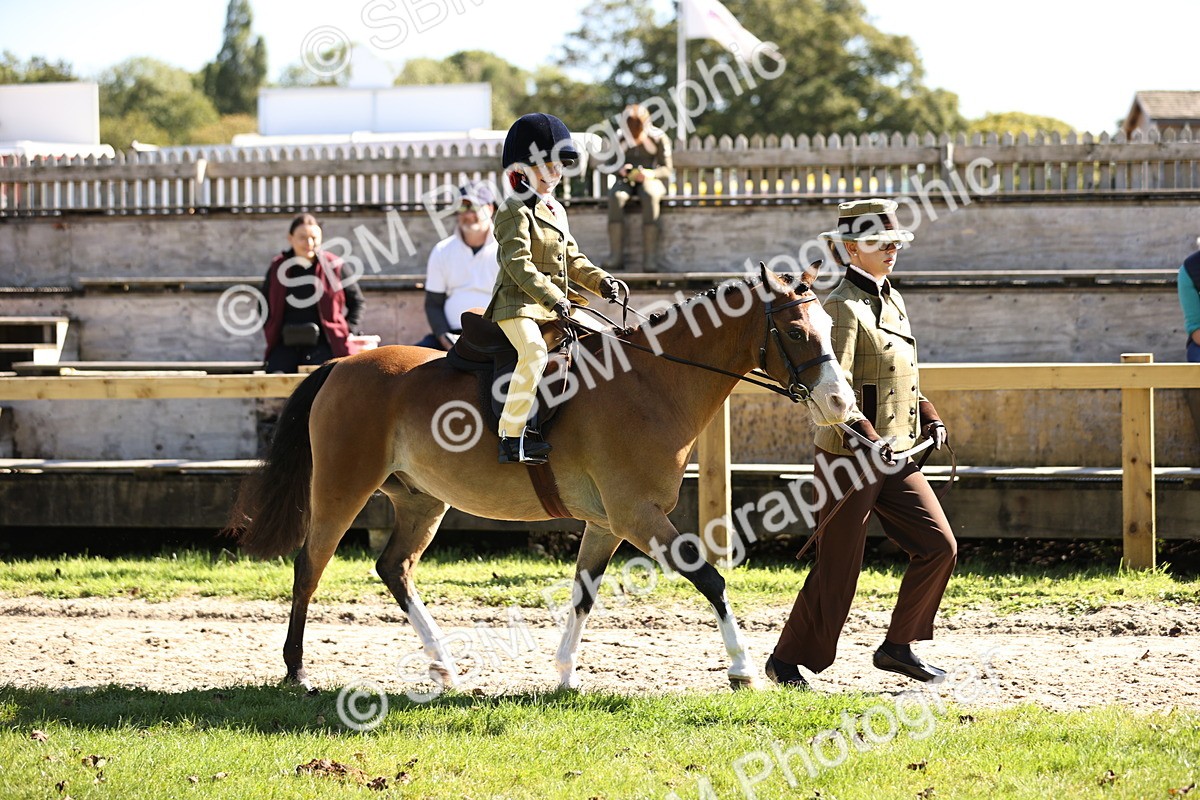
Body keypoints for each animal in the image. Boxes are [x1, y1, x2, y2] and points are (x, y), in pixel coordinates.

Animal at [231, 263, 856, 692]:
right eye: (796, 333)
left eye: (828, 326)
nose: (841, 403)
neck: (650, 382)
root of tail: (340, 364)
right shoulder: (637, 514)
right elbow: (709, 578)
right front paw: (742, 668)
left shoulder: (607, 523)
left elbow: (584, 593)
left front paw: (564, 674)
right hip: (341, 490)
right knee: (310, 566)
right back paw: (297, 671)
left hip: (421, 501)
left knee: (394, 568)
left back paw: (444, 665)